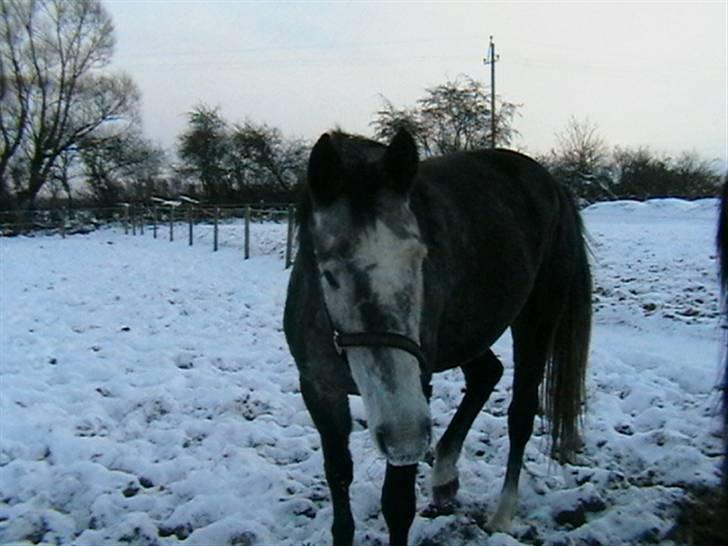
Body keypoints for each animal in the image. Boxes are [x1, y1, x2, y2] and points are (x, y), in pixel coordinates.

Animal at [282, 129, 592, 544]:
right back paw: (445, 476)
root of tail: (552, 185)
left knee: (521, 414)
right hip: (470, 330)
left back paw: (502, 515)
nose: (405, 436)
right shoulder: (320, 391)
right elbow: (339, 482)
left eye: (419, 258)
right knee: (486, 374)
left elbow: (397, 506)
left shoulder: (418, 386)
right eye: (328, 272)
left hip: (536, 319)